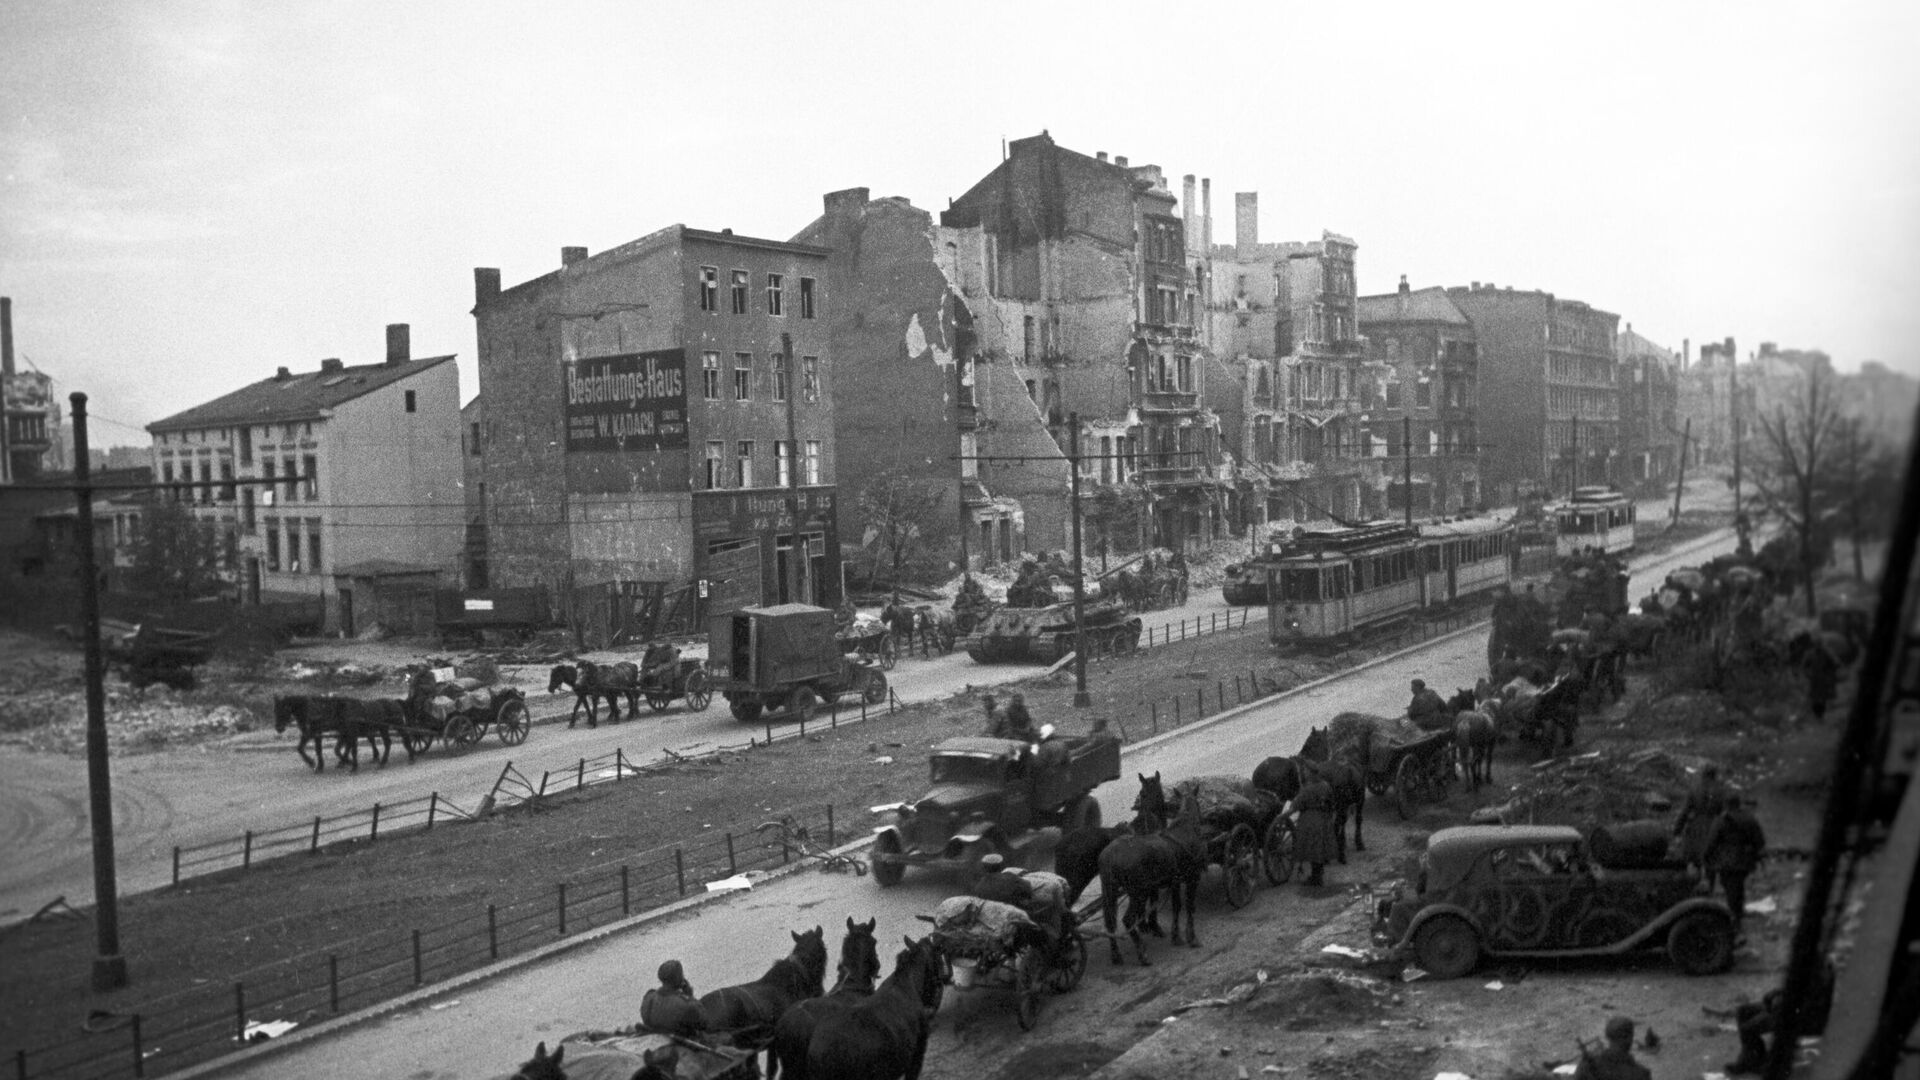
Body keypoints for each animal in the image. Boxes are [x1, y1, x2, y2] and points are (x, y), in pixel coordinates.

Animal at [1098, 768, 1198, 960]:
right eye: (1142, 792)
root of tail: (1109, 856)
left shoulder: (1159, 882)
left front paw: (1148, 926)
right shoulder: (1157, 884)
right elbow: (1161, 903)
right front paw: (1153, 926)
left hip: (1110, 891)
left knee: (1110, 920)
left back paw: (1116, 954)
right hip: (1134, 891)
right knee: (1124, 918)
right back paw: (1140, 952)